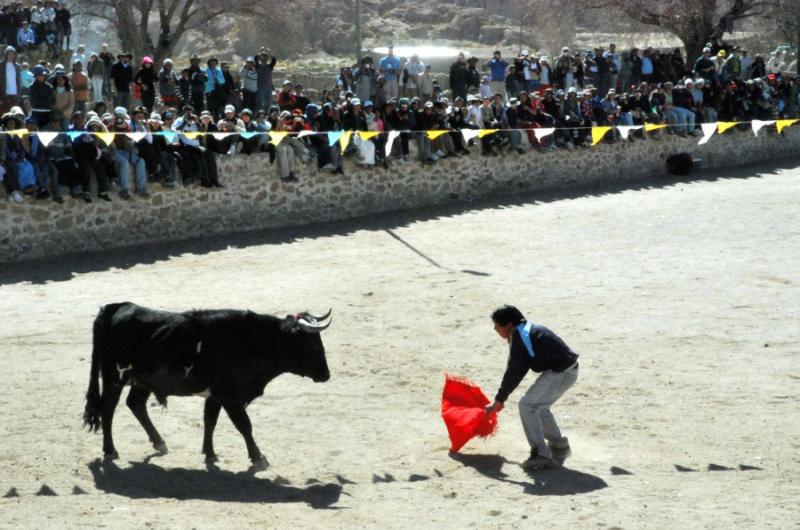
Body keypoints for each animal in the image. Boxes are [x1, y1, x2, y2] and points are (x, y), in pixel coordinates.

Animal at [83, 302, 330, 466]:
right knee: (108, 409)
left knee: (135, 404)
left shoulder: (215, 395)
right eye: (311, 344)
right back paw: (110, 450)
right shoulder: (230, 397)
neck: (251, 340)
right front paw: (258, 456)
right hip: (114, 377)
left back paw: (159, 442)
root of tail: (112, 309)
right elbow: (244, 425)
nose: (326, 375)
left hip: (142, 381)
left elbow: (210, 421)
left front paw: (209, 452)